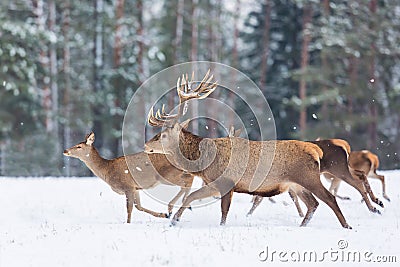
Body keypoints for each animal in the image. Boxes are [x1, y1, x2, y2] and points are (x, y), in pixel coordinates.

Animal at [63, 132, 196, 224]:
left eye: (79, 146)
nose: (65, 150)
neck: (107, 170)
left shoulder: (127, 186)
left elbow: (129, 208)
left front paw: (127, 223)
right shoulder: (135, 188)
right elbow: (139, 207)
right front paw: (163, 215)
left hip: (166, 175)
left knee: (188, 180)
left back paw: (178, 205)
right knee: (188, 179)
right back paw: (177, 208)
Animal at [145, 72, 352, 229]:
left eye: (163, 135)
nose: (146, 145)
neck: (202, 163)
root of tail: (315, 149)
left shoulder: (226, 182)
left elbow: (223, 212)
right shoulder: (214, 183)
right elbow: (192, 196)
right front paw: (174, 219)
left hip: (309, 177)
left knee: (329, 198)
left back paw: (347, 226)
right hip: (295, 184)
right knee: (313, 204)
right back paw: (303, 226)